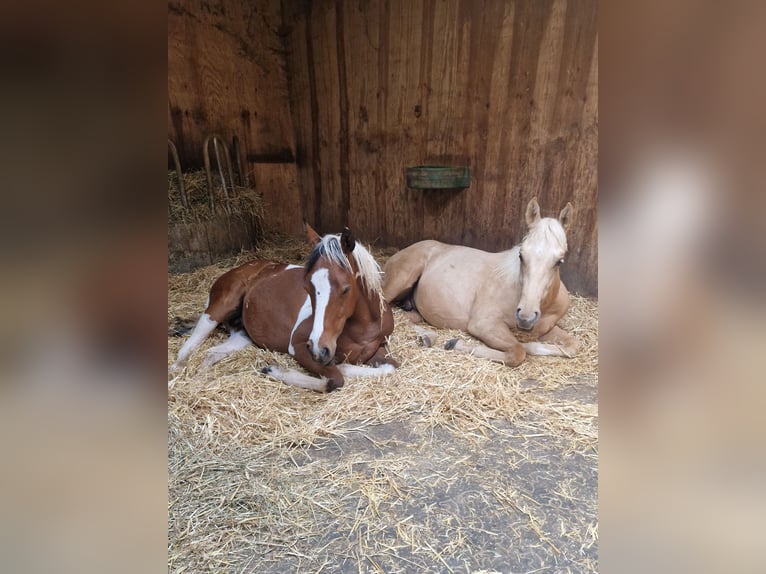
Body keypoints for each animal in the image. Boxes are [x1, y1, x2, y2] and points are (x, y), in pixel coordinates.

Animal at [170, 224, 398, 392]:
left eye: (346, 289)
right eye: (307, 287)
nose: (319, 349)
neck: (362, 328)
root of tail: (241, 267)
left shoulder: (378, 349)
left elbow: (391, 367)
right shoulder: (298, 346)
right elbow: (335, 379)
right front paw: (273, 370)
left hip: (242, 336)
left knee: (212, 353)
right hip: (218, 308)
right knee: (188, 347)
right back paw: (177, 371)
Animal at [382, 197, 579, 366]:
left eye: (559, 261)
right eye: (521, 255)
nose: (526, 318)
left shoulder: (546, 329)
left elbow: (572, 346)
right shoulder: (483, 324)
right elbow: (518, 351)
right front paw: (454, 343)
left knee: (405, 318)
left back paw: (428, 337)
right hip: (398, 282)